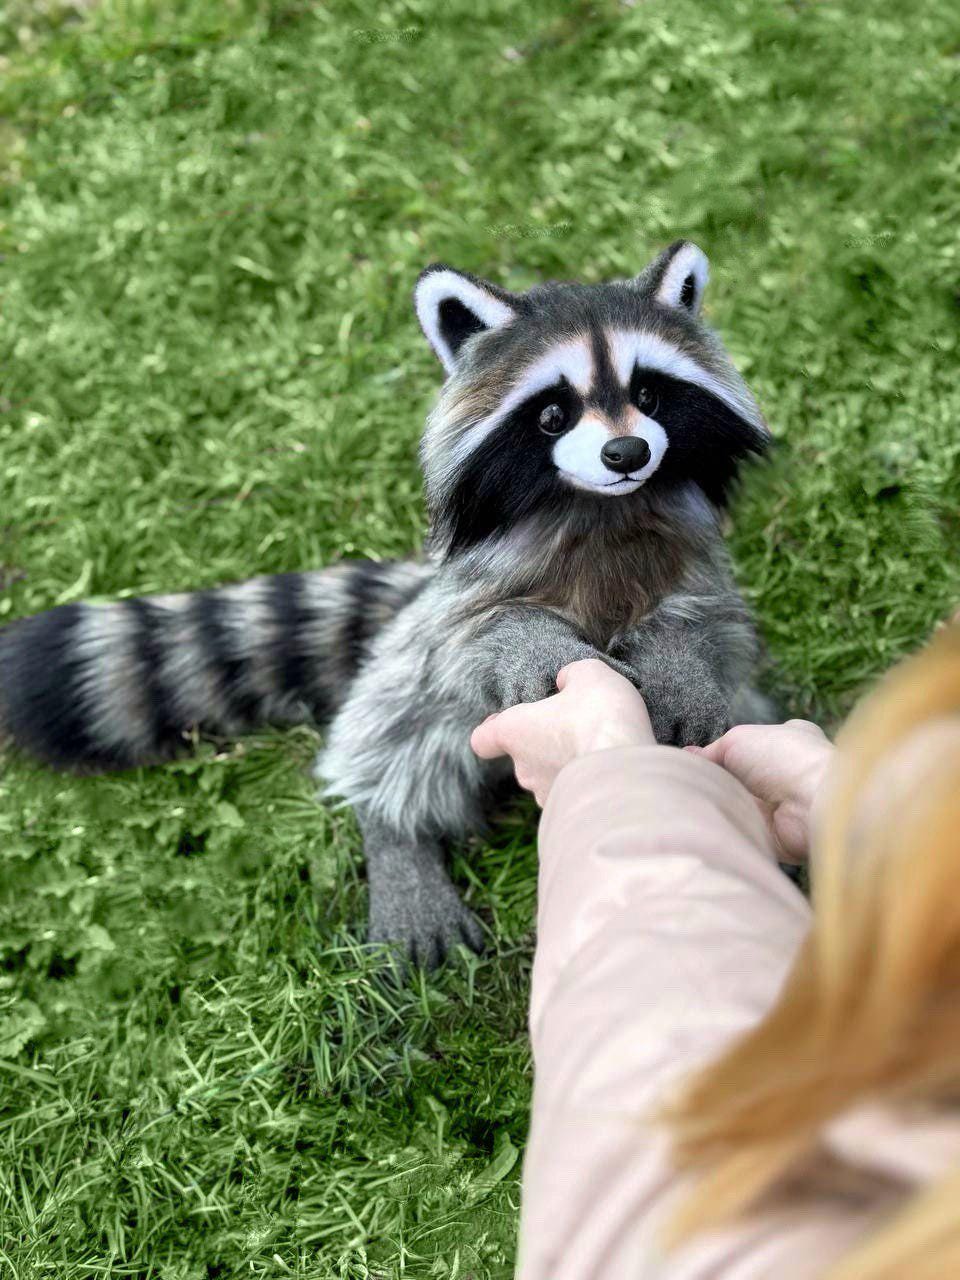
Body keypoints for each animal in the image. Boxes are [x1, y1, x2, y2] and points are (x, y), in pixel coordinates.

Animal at [0, 241, 771, 966]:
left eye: (652, 394)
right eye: (554, 414)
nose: (626, 454)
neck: (599, 505)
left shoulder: (693, 558)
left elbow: (705, 617)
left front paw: (679, 659)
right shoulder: (468, 589)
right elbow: (481, 634)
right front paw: (532, 642)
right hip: (413, 661)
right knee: (402, 726)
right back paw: (396, 832)